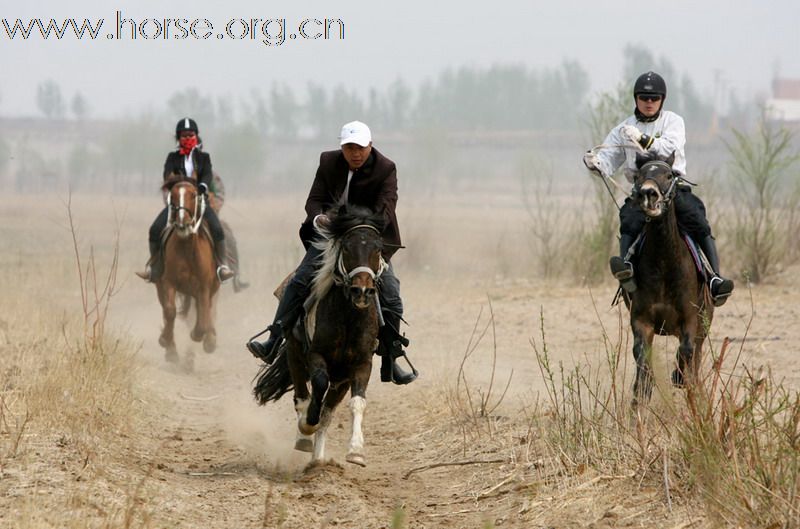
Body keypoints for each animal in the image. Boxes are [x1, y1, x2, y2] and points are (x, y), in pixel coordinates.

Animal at [155, 177, 219, 358]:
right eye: (173, 196)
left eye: (193, 195)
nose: (182, 224)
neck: (187, 249)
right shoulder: (168, 282)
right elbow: (170, 311)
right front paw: (166, 341)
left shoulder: (204, 285)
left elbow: (203, 314)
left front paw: (199, 335)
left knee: (206, 309)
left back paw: (210, 339)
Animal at [253, 206, 384, 466]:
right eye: (347, 247)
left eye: (377, 248)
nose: (362, 291)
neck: (348, 317)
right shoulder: (315, 355)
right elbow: (317, 388)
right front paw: (306, 426)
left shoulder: (361, 364)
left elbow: (357, 403)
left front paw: (356, 451)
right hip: (295, 355)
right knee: (303, 396)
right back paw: (305, 436)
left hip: (340, 379)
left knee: (327, 413)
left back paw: (318, 461)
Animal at [624, 152, 712, 404]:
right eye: (639, 175)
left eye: (669, 175)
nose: (648, 194)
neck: (664, 265)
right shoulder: (641, 321)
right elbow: (642, 364)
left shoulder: (690, 320)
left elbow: (686, 352)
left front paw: (678, 376)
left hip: (704, 324)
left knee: (694, 362)